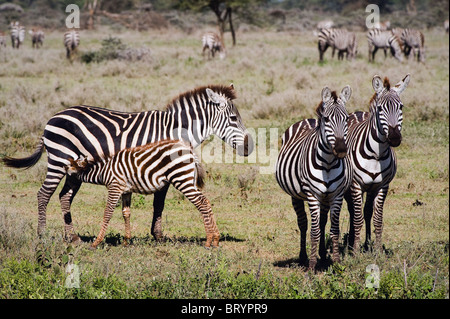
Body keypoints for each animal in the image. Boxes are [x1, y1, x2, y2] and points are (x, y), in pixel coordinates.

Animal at [64, 140, 219, 250]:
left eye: (71, 166)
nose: (64, 167)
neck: (104, 171)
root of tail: (190, 151)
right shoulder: (126, 191)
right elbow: (126, 213)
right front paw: (126, 241)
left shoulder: (115, 187)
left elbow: (107, 213)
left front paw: (96, 242)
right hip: (188, 179)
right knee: (206, 201)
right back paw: (216, 239)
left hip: (181, 179)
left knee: (201, 203)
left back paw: (208, 241)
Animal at [274, 85, 356, 270]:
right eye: (326, 119)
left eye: (347, 119)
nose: (341, 150)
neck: (328, 163)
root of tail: (308, 120)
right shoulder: (312, 195)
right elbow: (314, 231)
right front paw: (311, 266)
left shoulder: (336, 195)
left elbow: (333, 230)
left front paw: (336, 263)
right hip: (296, 195)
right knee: (303, 223)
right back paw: (303, 257)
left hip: (325, 197)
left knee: (322, 221)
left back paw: (323, 255)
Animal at [344, 74, 412, 252]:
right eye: (381, 109)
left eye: (401, 107)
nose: (394, 138)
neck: (376, 154)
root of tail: (359, 112)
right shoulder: (356, 185)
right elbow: (357, 219)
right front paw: (355, 252)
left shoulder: (382, 185)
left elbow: (377, 218)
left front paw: (377, 250)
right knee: (353, 211)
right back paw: (351, 243)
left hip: (371, 188)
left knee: (367, 211)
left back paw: (367, 242)